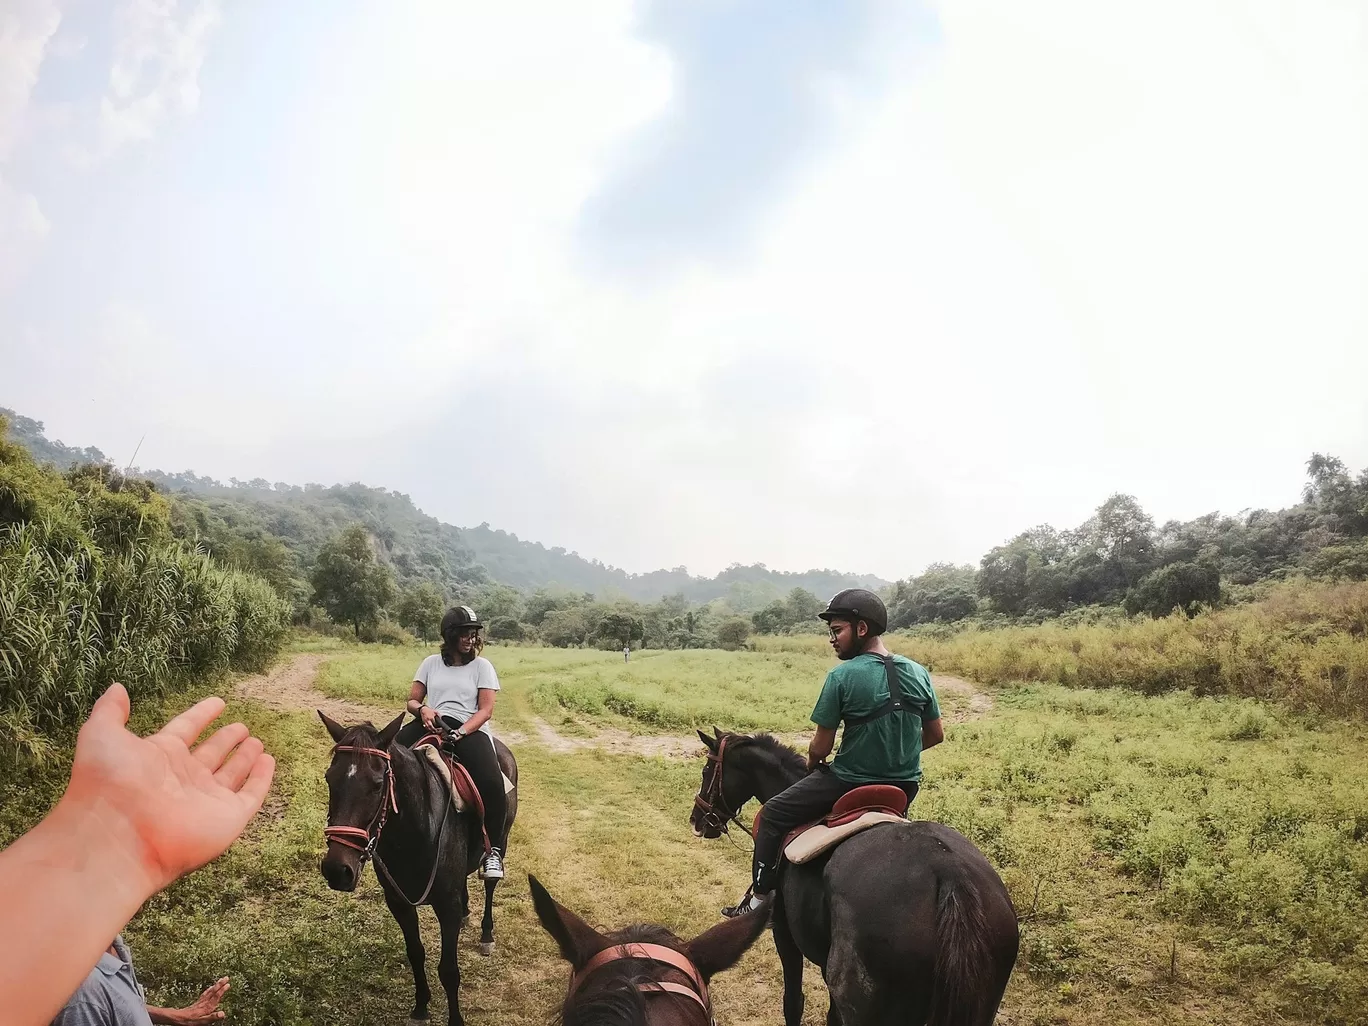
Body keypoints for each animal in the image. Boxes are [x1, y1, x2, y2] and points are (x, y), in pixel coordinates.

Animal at [317, 716, 519, 1026]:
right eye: (330, 779)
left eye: (377, 785)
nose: (337, 870)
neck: (419, 828)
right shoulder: (399, 903)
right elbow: (415, 953)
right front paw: (421, 1007)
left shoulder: (445, 907)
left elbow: (449, 970)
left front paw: (454, 1019)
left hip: (501, 843)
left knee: (489, 886)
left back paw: (487, 934)